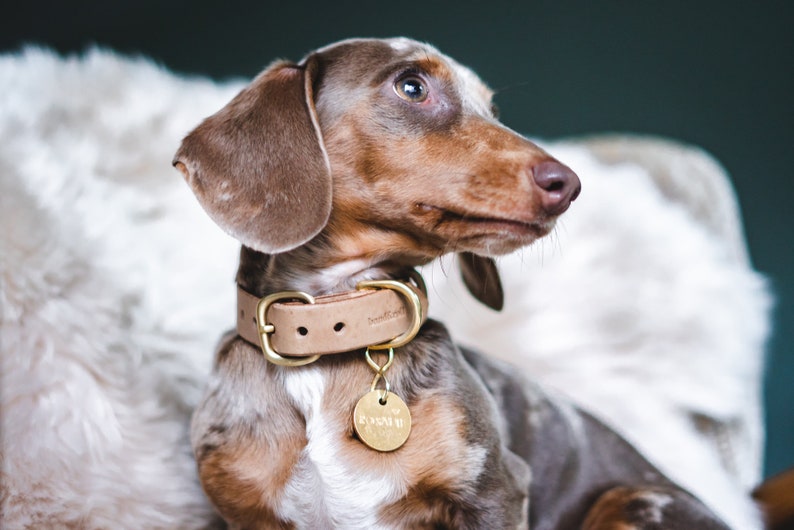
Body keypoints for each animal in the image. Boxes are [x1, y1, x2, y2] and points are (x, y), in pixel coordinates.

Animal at [173, 35, 732, 524]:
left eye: (493, 110)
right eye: (411, 86)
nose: (568, 185)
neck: (333, 342)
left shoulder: (497, 490)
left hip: (633, 498)